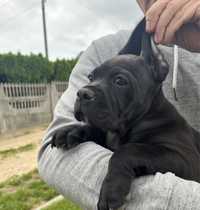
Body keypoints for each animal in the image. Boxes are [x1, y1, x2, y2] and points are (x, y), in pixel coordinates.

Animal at [50, 18, 200, 210]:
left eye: (120, 81)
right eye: (91, 77)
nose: (82, 93)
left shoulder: (186, 159)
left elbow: (129, 150)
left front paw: (111, 190)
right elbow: (97, 131)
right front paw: (71, 131)